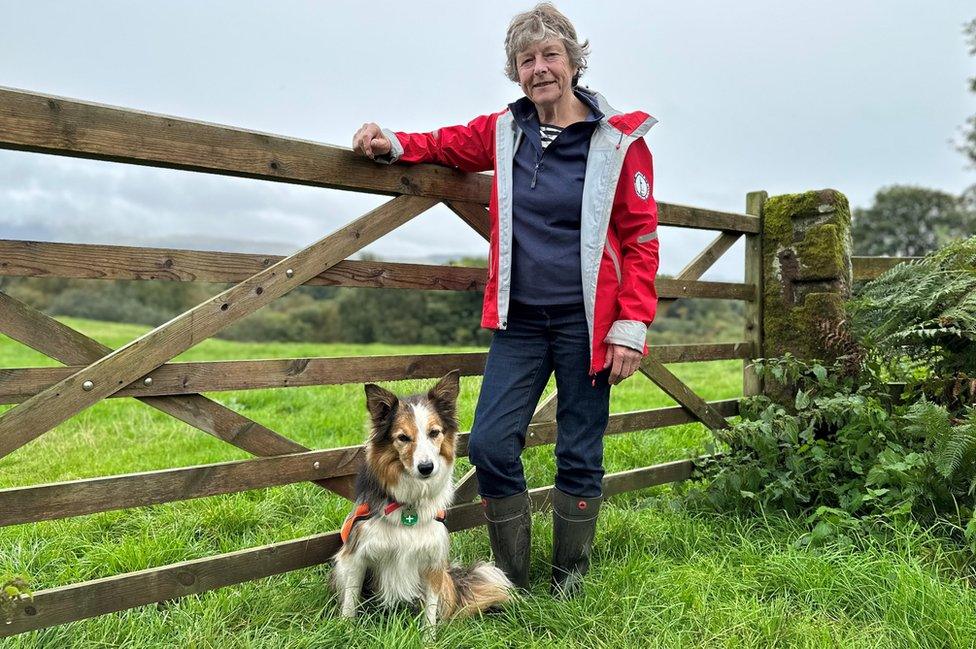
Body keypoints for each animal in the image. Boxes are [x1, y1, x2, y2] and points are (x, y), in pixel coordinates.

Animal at [332, 370, 510, 624]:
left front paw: (429, 634)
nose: (426, 468)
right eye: (403, 438)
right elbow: (350, 601)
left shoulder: (433, 561)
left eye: (434, 433)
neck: (410, 503)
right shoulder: (356, 556)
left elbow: (431, 610)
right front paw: (346, 628)